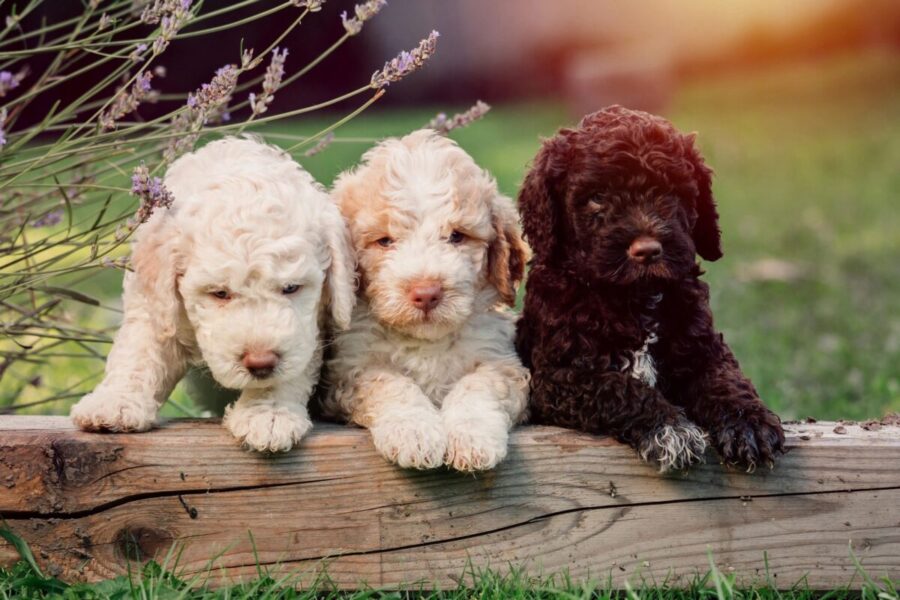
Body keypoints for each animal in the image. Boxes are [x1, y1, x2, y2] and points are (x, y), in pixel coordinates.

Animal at [68, 136, 356, 452]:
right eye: (220, 293)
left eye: (291, 288)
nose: (261, 363)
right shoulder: (153, 304)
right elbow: (140, 349)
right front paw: (115, 403)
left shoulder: (313, 327)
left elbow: (293, 367)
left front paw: (267, 415)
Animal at [324, 130, 532, 474]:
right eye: (385, 241)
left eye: (457, 236)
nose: (426, 292)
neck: (426, 344)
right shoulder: (349, 371)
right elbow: (388, 382)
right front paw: (413, 432)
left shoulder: (502, 363)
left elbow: (479, 384)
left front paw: (472, 436)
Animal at [516, 106, 784, 474]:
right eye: (597, 197)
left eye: (671, 191)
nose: (647, 250)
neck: (634, 298)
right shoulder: (558, 378)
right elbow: (619, 387)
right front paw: (670, 429)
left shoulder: (705, 350)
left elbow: (726, 380)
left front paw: (749, 424)